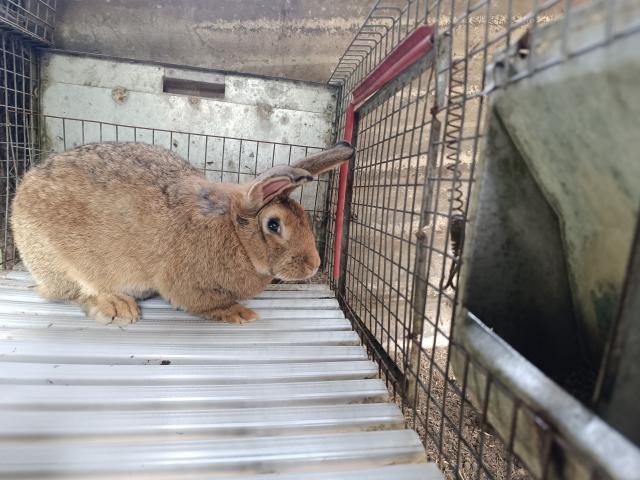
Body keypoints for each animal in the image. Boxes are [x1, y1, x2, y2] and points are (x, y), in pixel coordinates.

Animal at [11, 141, 356, 324]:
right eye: (274, 224)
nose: (314, 265)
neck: (234, 231)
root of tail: (17, 205)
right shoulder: (185, 285)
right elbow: (206, 304)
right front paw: (240, 313)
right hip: (62, 264)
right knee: (75, 293)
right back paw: (117, 307)